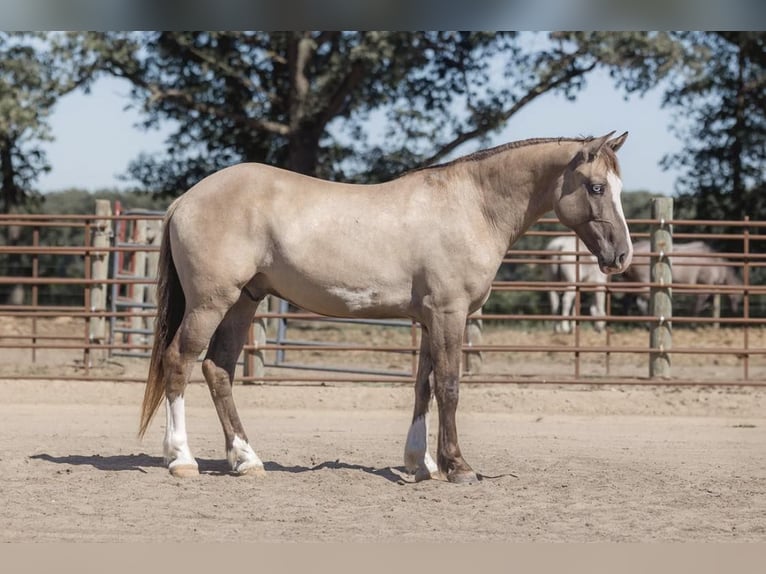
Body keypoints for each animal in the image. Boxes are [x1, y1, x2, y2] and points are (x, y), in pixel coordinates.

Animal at [140, 132, 636, 486]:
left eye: (617, 187)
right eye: (596, 187)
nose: (622, 256)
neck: (471, 206)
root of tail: (185, 199)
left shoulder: (430, 319)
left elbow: (423, 387)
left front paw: (422, 463)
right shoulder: (450, 314)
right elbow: (449, 387)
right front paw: (458, 467)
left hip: (243, 301)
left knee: (218, 370)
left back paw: (246, 460)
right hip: (211, 302)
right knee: (180, 361)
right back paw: (181, 459)